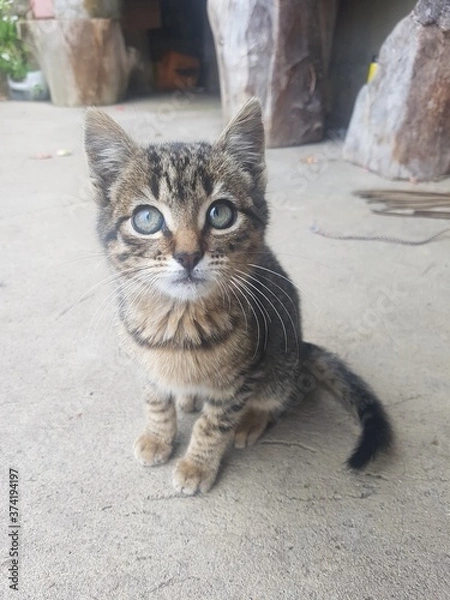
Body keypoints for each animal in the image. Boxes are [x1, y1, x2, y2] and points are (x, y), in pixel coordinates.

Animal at [85, 97, 394, 492]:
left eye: (221, 213)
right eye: (147, 219)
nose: (188, 255)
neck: (178, 320)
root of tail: (303, 344)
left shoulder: (239, 380)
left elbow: (213, 425)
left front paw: (197, 465)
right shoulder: (146, 365)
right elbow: (155, 401)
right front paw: (158, 436)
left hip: (279, 366)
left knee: (293, 391)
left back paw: (251, 421)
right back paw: (187, 397)